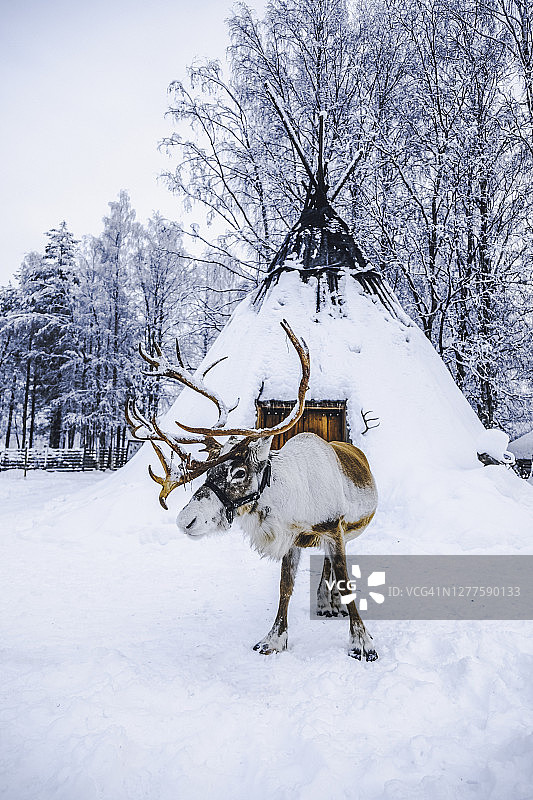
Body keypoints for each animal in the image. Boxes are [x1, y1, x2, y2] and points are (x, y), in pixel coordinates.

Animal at [126, 321, 378, 661]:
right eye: (210, 473)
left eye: (239, 472)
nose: (185, 520)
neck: (294, 498)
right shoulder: (293, 539)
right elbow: (285, 587)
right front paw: (273, 640)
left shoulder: (333, 526)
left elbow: (345, 579)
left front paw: (362, 643)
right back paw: (325, 604)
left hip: (345, 530)